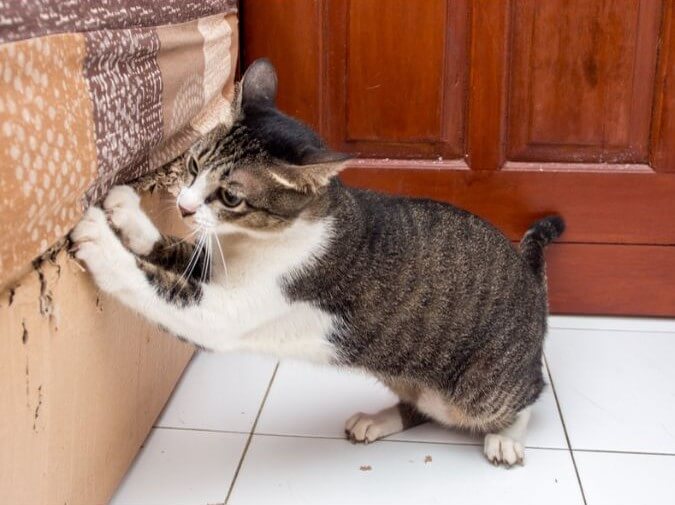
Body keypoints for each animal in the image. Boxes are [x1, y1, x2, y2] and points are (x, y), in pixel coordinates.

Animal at [70, 58, 564, 464]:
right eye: (192, 166)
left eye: (229, 196)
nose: (185, 207)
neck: (251, 240)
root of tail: (528, 274)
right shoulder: (216, 261)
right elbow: (173, 249)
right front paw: (127, 214)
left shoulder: (228, 311)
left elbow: (156, 287)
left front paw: (101, 243)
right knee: (424, 407)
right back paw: (376, 420)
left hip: (476, 390)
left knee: (523, 396)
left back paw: (506, 439)